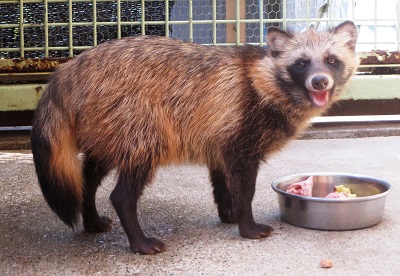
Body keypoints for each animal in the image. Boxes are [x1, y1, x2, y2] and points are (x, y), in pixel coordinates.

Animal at [31, 21, 360, 254]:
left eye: (331, 60)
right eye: (302, 63)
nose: (320, 81)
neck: (266, 79)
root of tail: (71, 68)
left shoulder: (220, 136)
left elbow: (222, 181)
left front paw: (229, 212)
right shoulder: (242, 139)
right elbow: (245, 188)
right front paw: (247, 224)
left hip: (106, 130)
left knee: (87, 179)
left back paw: (90, 217)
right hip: (139, 126)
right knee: (122, 193)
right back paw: (138, 240)